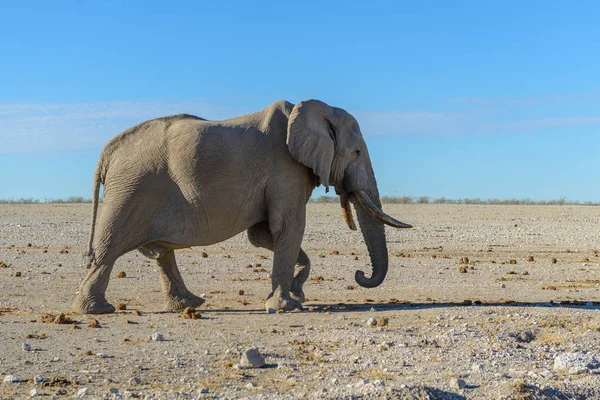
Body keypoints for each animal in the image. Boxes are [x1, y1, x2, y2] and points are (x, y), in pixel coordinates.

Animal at [72, 98, 412, 314]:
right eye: (357, 152)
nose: (359, 274)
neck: (312, 110)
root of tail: (107, 152)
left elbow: (264, 235)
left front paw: (297, 291)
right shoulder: (284, 169)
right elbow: (287, 227)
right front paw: (287, 306)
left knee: (160, 253)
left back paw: (189, 305)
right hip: (131, 189)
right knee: (110, 249)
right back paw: (98, 310)